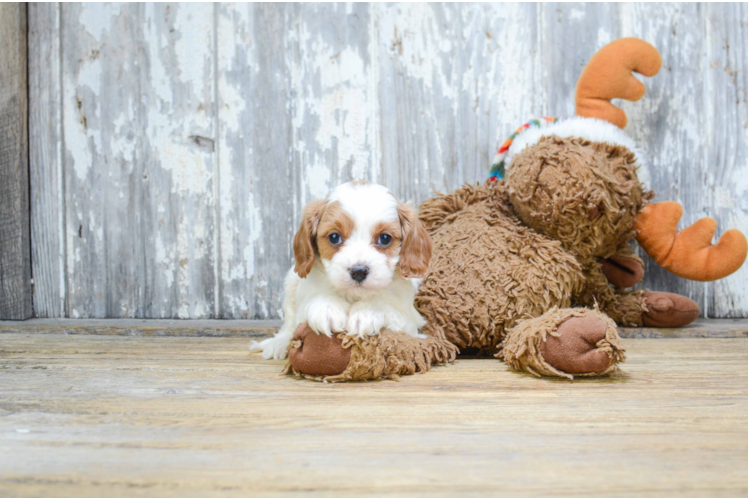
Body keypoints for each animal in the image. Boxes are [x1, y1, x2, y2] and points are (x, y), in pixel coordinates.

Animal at [250, 182, 430, 362]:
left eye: (385, 238)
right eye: (334, 237)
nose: (359, 271)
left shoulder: (410, 321)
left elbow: (388, 308)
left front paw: (367, 312)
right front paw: (327, 308)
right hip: (291, 283)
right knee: (288, 323)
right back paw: (278, 344)